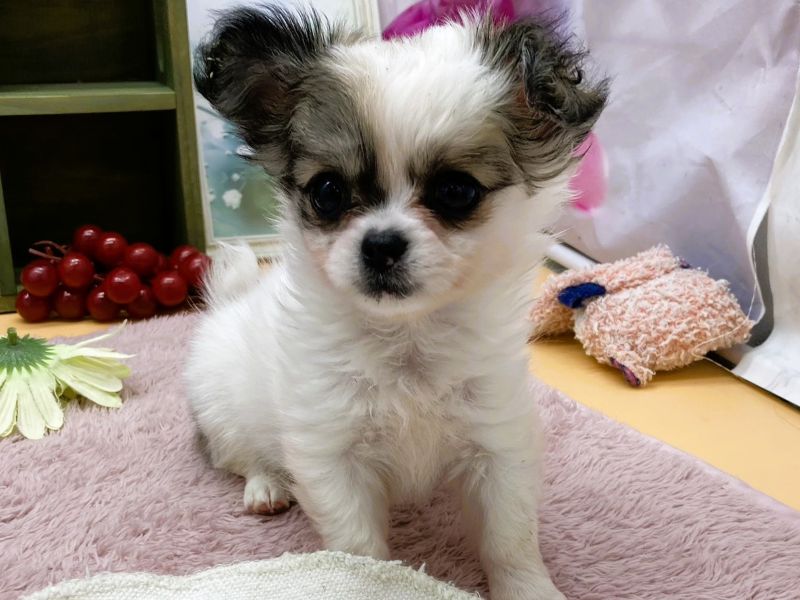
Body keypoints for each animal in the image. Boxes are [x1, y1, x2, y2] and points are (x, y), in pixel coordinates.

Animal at [185, 6, 606, 599]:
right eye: (327, 192)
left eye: (457, 191)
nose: (381, 243)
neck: (409, 340)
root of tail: (229, 303)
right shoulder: (332, 452)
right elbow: (358, 547)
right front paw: (367, 582)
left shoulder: (498, 442)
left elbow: (510, 538)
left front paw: (530, 589)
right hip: (220, 403)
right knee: (239, 454)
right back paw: (265, 486)